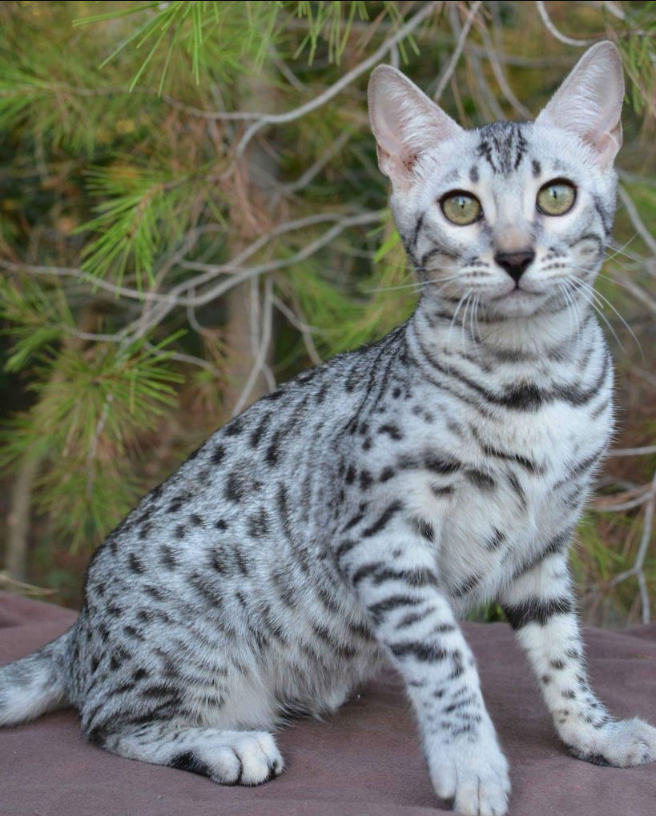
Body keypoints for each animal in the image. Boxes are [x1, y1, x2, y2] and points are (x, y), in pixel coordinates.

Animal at [1, 41, 656, 816]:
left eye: (555, 196)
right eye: (461, 207)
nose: (517, 256)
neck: (534, 376)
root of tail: (78, 633)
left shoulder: (545, 539)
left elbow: (563, 652)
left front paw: (592, 733)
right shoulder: (384, 535)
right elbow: (446, 657)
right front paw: (470, 763)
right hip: (188, 651)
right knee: (108, 721)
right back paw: (228, 744)